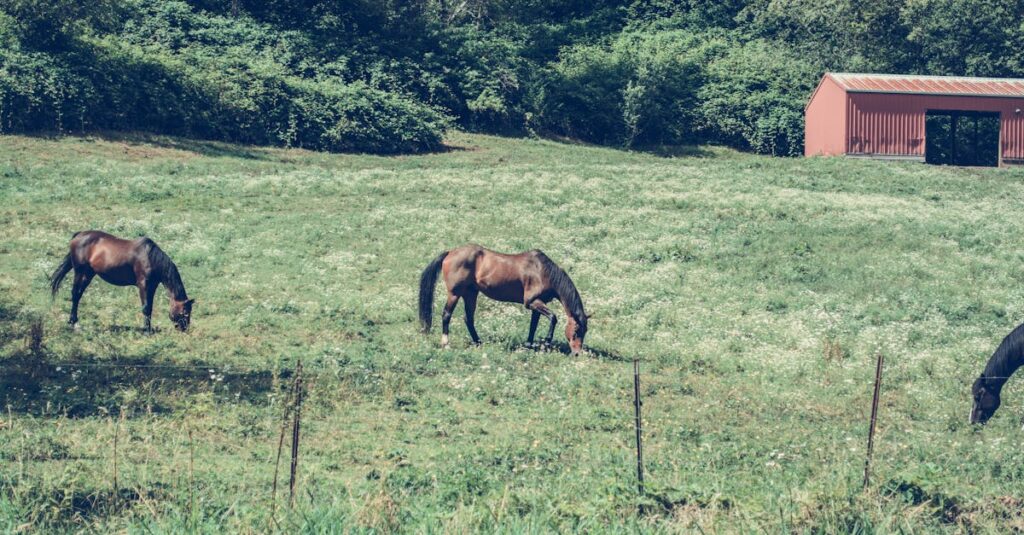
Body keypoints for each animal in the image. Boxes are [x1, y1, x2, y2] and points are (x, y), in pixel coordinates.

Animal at [50, 231, 195, 332]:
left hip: (88, 274)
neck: (150, 257)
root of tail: (79, 235)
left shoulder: (152, 286)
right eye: (185, 312)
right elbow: (146, 308)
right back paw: (73, 323)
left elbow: (150, 308)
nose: (184, 329)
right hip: (80, 272)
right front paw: (146, 330)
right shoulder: (143, 285)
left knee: (78, 295)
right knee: (75, 295)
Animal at [418, 245, 588, 354]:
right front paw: (546, 342)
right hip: (454, 293)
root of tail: (449, 253)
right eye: (577, 331)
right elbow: (553, 317)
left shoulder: (537, 304)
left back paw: (478, 342)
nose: (577, 353)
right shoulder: (532, 302)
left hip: (470, 294)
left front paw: (528, 345)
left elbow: (533, 325)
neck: (542, 271)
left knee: (468, 318)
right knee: (446, 315)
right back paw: (446, 344)